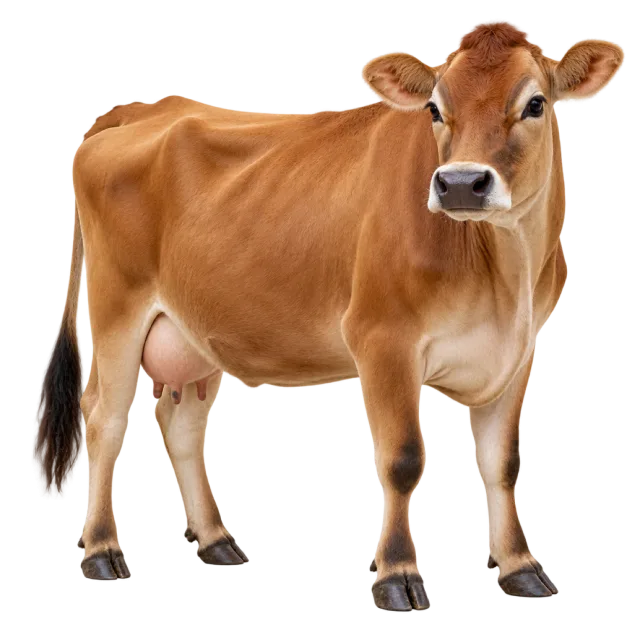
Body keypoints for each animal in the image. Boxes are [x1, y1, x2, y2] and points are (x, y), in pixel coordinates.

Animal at [33, 19, 625, 610]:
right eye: (435, 108)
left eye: (535, 104)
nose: (459, 183)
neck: (505, 276)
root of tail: (145, 108)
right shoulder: (382, 337)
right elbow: (403, 458)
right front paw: (396, 575)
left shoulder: (518, 350)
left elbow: (502, 465)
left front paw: (520, 568)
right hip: (116, 305)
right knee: (103, 419)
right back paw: (101, 552)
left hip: (192, 332)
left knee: (181, 424)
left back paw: (218, 541)